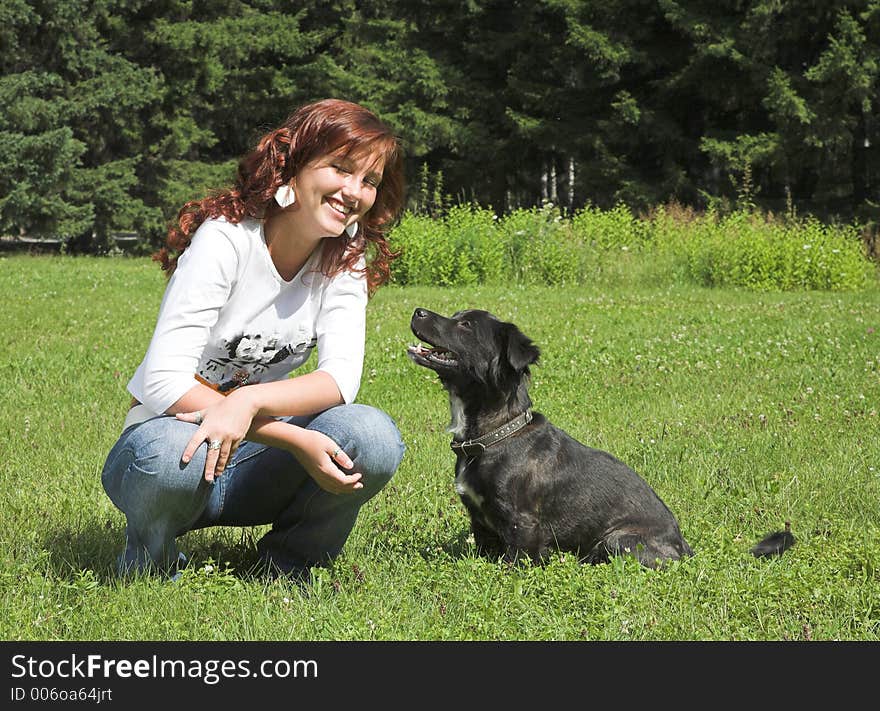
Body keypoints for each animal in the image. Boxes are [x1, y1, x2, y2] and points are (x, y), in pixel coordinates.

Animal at [406, 308, 696, 572]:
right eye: (456, 315)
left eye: (466, 325)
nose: (418, 311)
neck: (496, 434)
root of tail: (683, 547)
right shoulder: (480, 523)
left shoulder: (522, 524)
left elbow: (514, 563)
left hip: (618, 540)